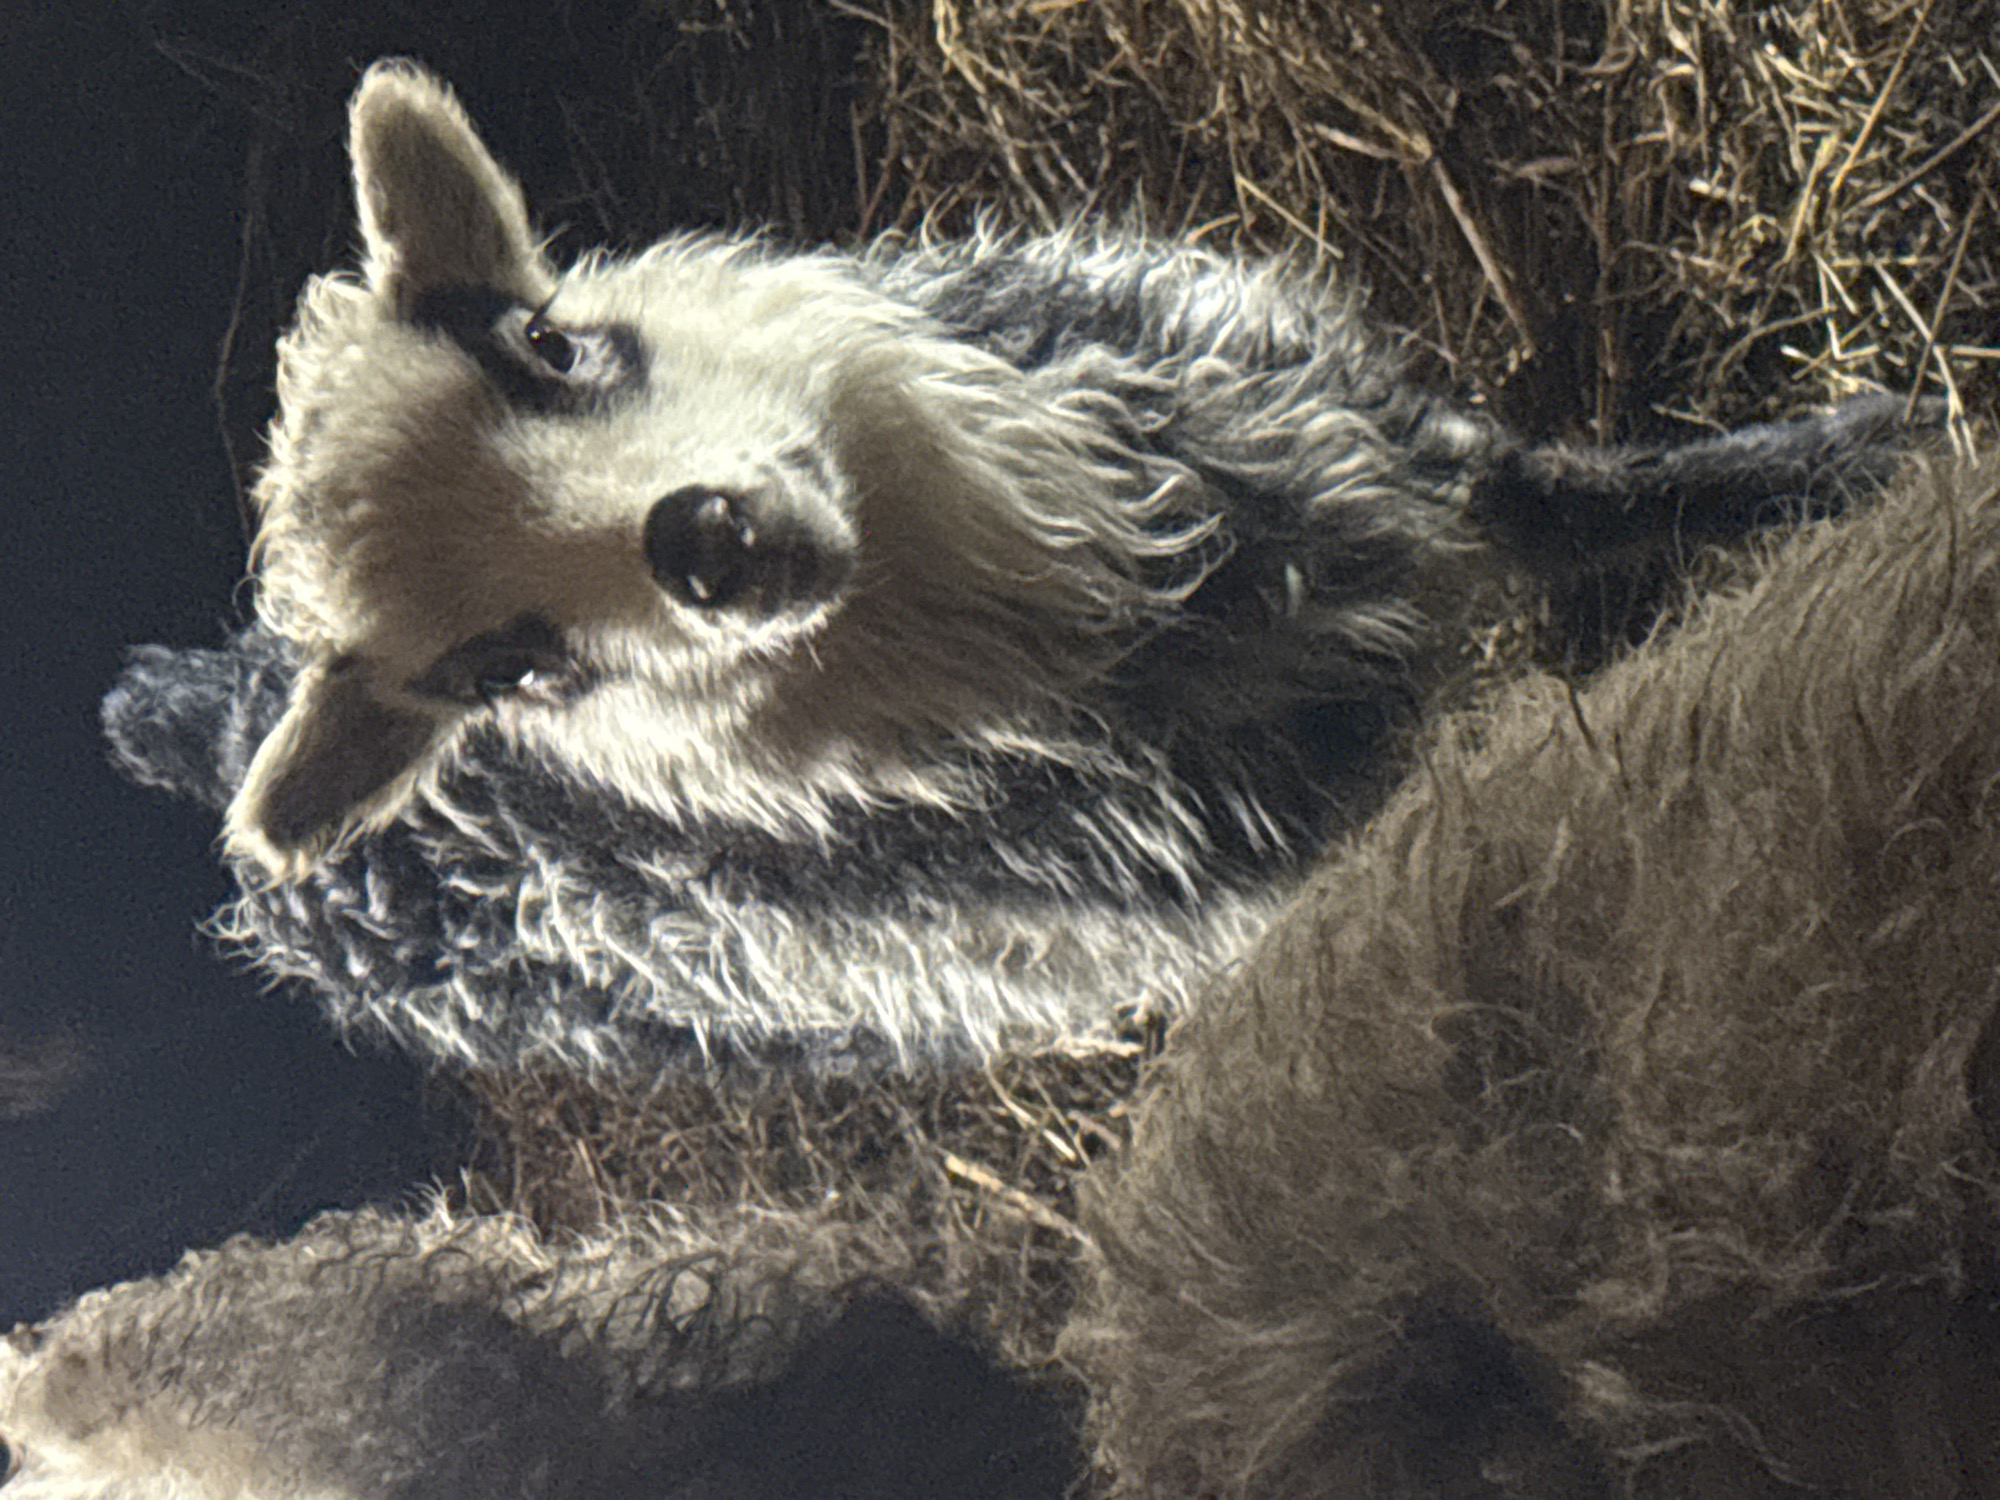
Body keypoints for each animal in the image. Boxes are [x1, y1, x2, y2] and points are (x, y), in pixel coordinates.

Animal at [103, 60, 1927, 1071]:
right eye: (511, 670)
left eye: (545, 346)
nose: (704, 543)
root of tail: (209, 713)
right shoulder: (1314, 828)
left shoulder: (1366, 438)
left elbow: (1603, 492)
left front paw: (1866, 449)